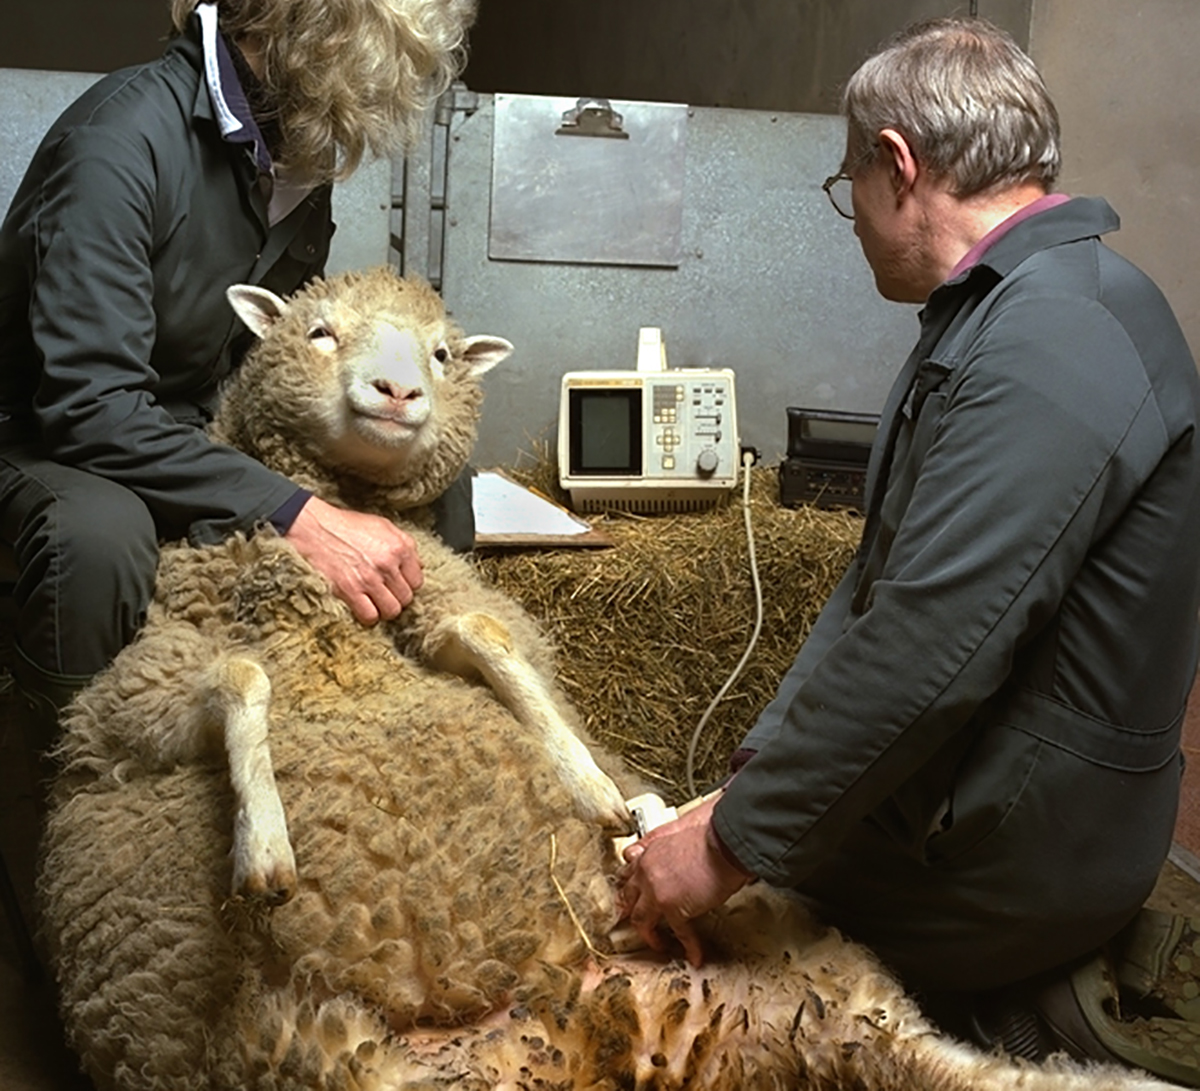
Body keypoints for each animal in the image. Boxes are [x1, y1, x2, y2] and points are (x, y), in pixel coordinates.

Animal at [37, 264, 1180, 1089]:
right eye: (318, 332)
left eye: (443, 351)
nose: (399, 390)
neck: (332, 610)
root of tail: (587, 1003)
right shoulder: (134, 694)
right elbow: (240, 674)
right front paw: (265, 849)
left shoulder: (440, 605)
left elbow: (493, 643)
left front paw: (597, 788)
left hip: (816, 979)